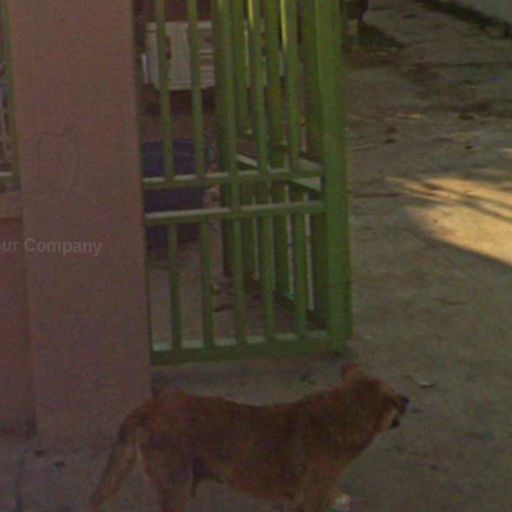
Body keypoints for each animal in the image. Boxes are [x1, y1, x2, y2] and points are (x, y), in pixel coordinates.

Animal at [90, 363, 408, 512]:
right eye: (395, 398)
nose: (408, 399)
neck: (341, 414)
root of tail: (146, 409)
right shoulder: (307, 499)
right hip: (176, 489)